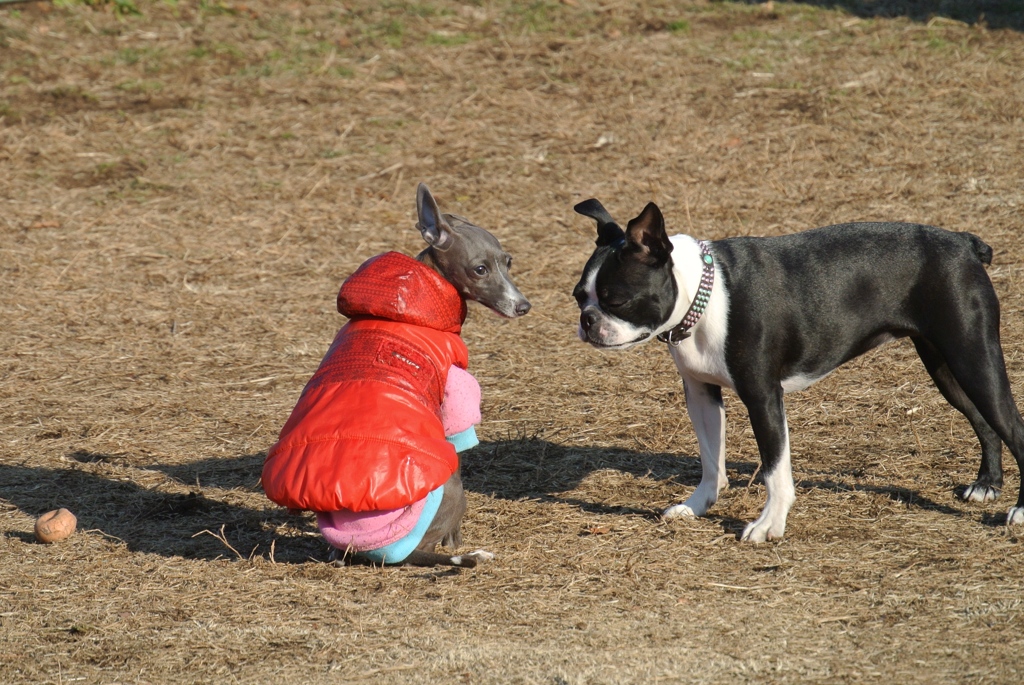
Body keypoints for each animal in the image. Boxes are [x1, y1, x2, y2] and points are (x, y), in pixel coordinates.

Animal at [573, 197, 1024, 540]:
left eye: (616, 299)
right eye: (579, 296)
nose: (587, 320)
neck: (703, 294)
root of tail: (964, 244)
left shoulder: (762, 396)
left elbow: (775, 470)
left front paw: (768, 525)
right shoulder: (700, 393)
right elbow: (710, 458)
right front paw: (698, 504)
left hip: (973, 357)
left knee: (1012, 426)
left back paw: (1017, 511)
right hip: (947, 367)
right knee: (984, 422)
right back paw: (987, 485)